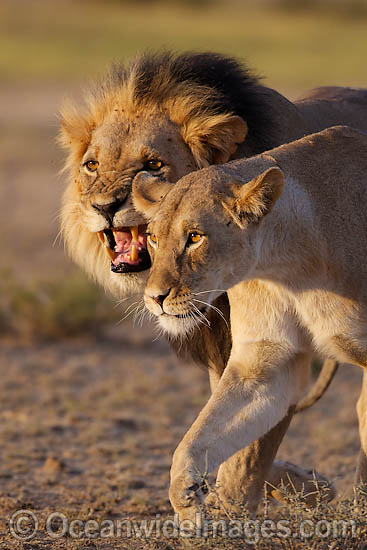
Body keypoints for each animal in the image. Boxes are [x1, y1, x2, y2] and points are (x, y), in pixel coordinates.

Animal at [59, 51, 367, 512]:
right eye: (92, 165)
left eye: (152, 164)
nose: (104, 206)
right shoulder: (251, 356)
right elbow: (213, 433)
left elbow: (248, 459)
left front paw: (235, 507)